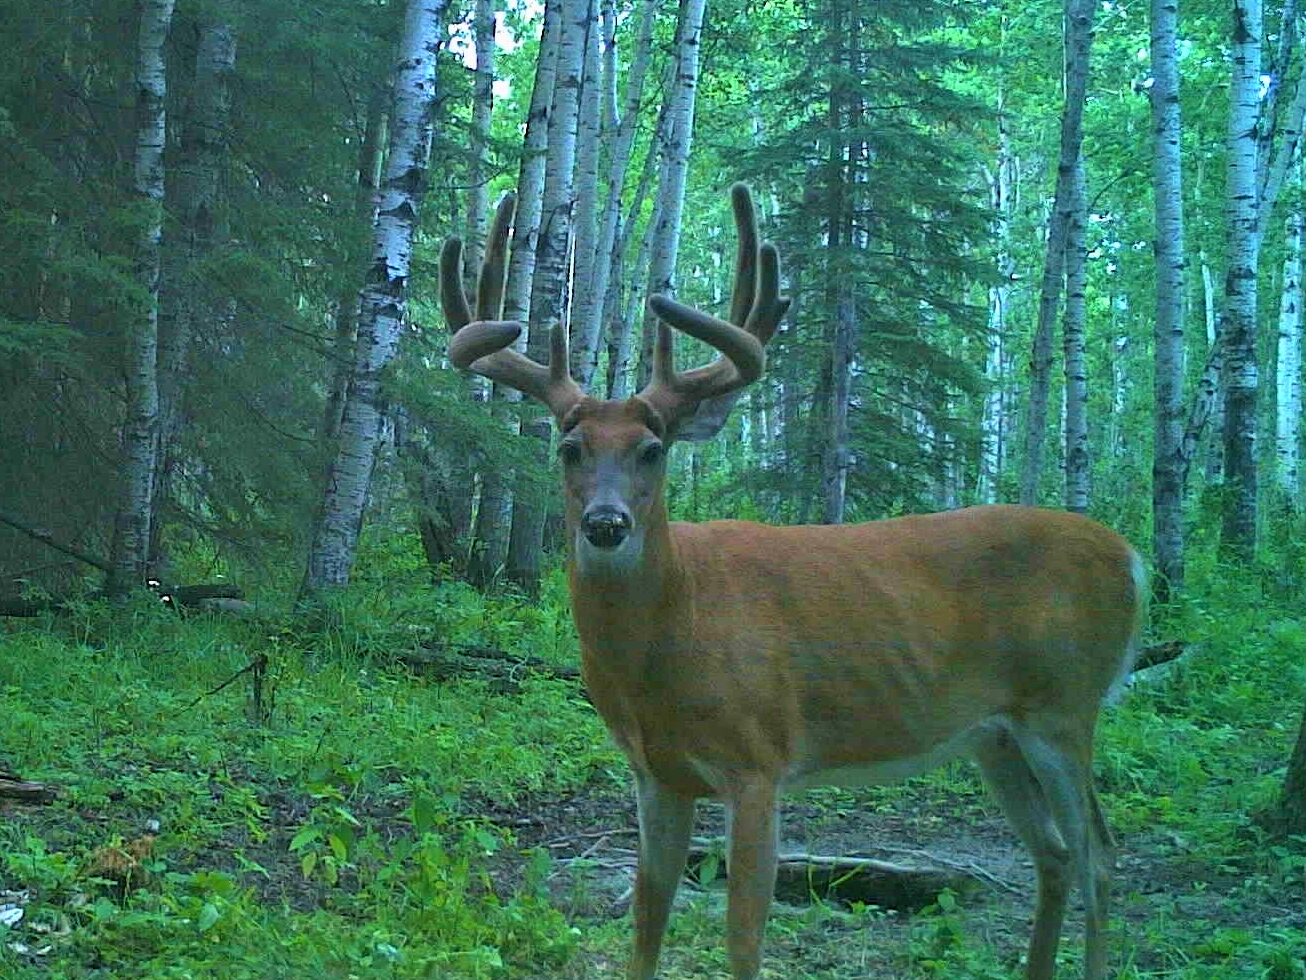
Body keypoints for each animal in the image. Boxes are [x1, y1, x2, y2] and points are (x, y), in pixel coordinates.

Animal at [438, 184, 1144, 980]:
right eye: (570, 447)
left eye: (653, 448)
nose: (606, 523)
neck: (671, 641)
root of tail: (1130, 558)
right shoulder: (657, 774)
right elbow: (646, 926)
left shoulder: (759, 760)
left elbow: (743, 939)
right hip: (994, 734)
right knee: (1054, 853)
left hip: (1064, 706)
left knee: (1100, 858)